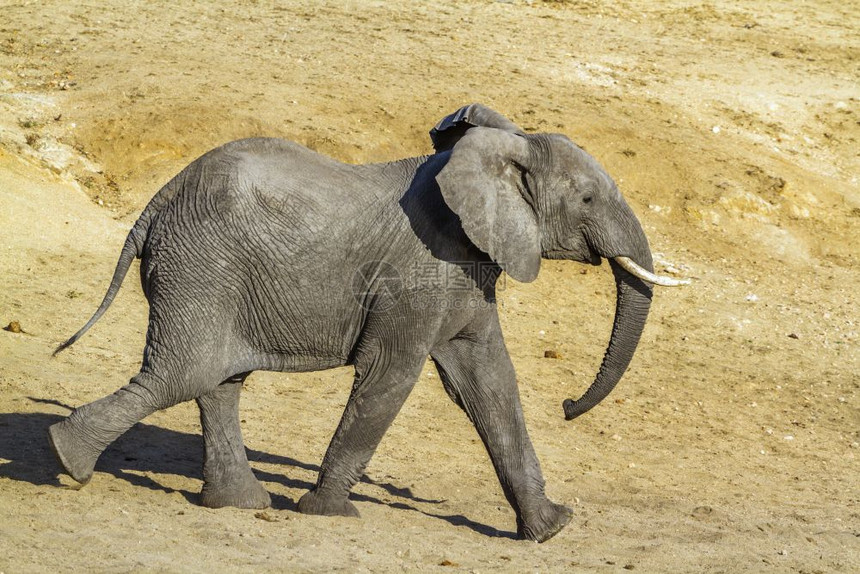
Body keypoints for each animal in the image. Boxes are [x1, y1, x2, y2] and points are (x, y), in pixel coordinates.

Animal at [50, 104, 688, 544]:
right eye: (588, 199)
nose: (568, 406)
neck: (497, 153)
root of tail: (155, 203)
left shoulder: (464, 270)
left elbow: (489, 383)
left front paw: (552, 529)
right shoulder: (418, 271)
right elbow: (391, 377)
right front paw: (328, 513)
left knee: (216, 381)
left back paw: (237, 503)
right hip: (199, 265)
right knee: (182, 373)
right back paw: (66, 459)